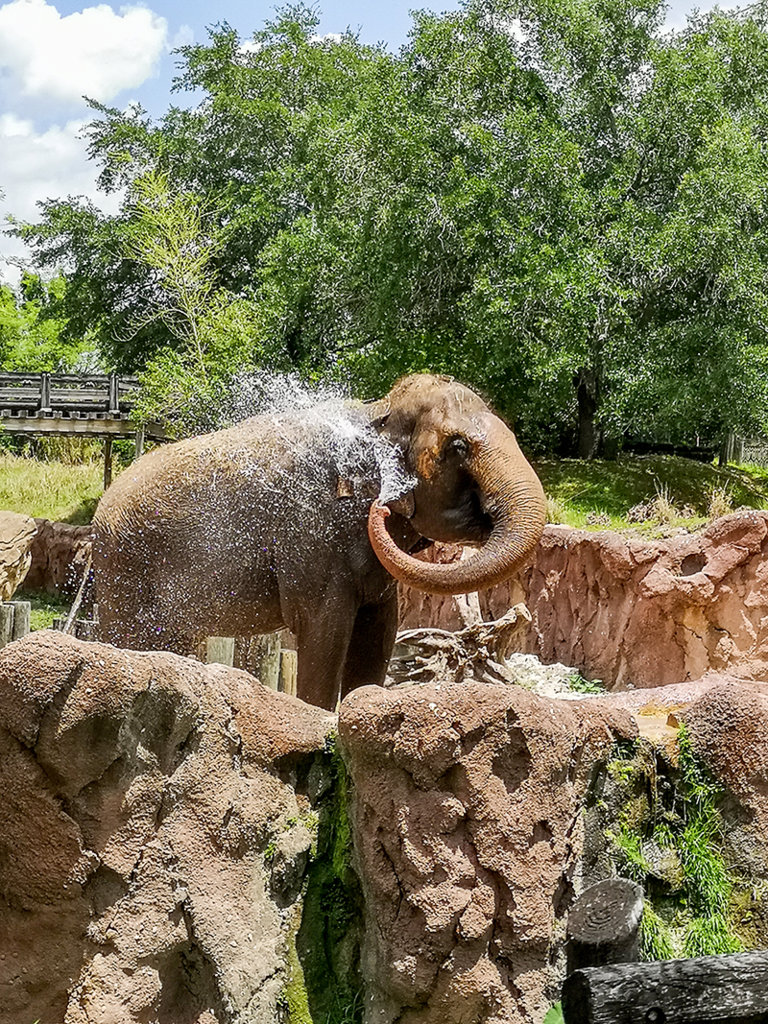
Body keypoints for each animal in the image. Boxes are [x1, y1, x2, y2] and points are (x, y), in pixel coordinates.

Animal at [92, 373, 546, 709]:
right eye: (458, 446)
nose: (382, 510)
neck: (376, 410)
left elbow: (378, 633)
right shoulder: (310, 536)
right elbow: (323, 633)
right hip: (124, 567)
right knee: (132, 641)